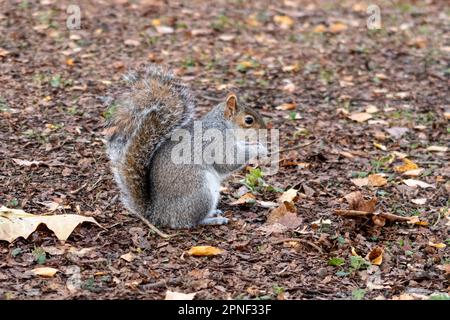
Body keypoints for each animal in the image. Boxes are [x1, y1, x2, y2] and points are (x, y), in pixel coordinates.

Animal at [105, 65, 268, 229]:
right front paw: (259, 149)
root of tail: (157, 214)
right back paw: (213, 220)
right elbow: (228, 162)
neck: (223, 125)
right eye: (248, 120)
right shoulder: (215, 142)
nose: (266, 130)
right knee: (191, 221)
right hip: (200, 191)